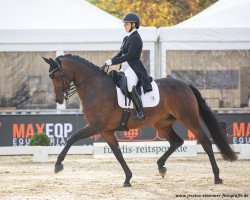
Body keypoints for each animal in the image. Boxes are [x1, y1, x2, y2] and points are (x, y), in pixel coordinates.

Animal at [42, 54, 236, 187]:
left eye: (55, 76)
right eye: (50, 76)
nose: (59, 100)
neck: (95, 87)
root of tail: (185, 84)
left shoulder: (95, 126)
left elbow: (71, 138)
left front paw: (58, 164)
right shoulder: (105, 130)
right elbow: (118, 153)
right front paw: (128, 178)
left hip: (189, 118)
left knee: (205, 142)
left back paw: (217, 177)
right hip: (162, 123)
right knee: (176, 141)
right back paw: (161, 166)